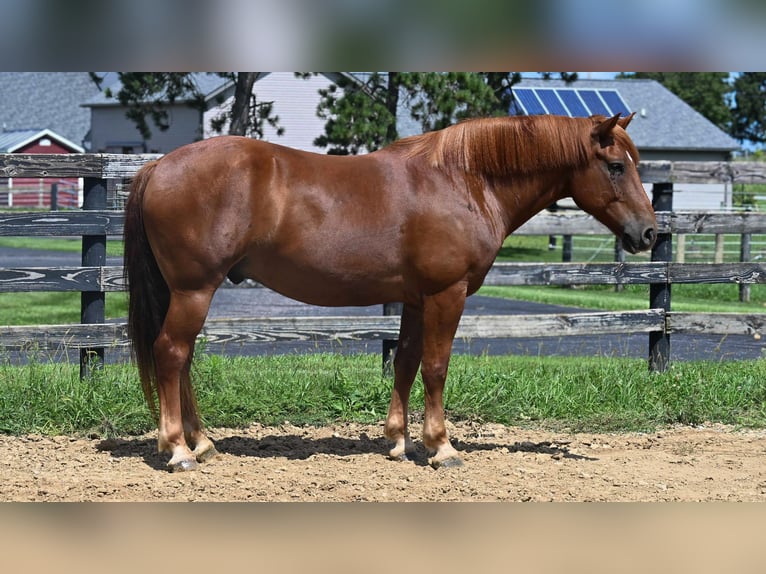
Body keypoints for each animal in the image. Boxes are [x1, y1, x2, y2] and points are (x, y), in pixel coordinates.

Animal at [123, 112, 657, 472]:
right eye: (615, 165)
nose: (649, 234)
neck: (463, 181)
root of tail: (158, 166)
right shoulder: (447, 294)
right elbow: (436, 367)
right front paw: (442, 447)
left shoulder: (417, 300)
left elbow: (405, 362)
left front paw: (399, 442)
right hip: (194, 289)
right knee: (171, 353)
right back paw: (178, 450)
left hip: (189, 293)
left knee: (183, 359)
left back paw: (203, 443)